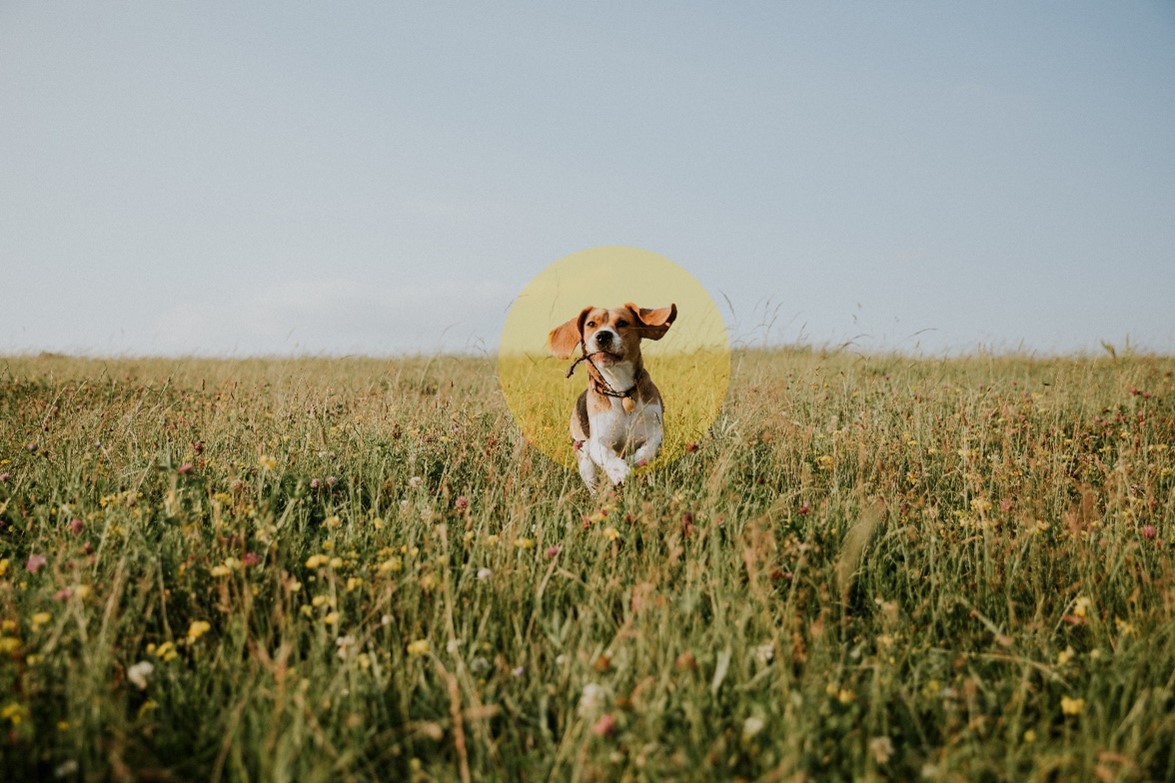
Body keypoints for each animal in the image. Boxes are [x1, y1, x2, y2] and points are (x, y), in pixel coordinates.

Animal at [549, 300, 681, 491]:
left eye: (622, 323)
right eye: (591, 324)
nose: (603, 336)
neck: (620, 390)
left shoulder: (655, 432)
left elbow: (646, 451)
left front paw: (630, 462)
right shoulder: (597, 441)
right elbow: (607, 455)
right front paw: (620, 471)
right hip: (584, 459)